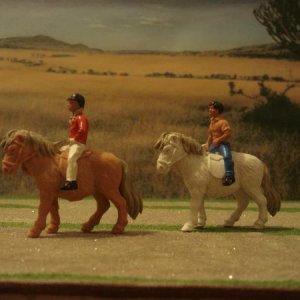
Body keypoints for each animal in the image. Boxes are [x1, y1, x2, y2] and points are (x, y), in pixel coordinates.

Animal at [0, 130, 143, 238]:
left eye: (12, 149)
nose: (5, 168)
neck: (46, 163)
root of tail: (118, 160)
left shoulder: (46, 193)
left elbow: (43, 209)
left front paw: (34, 231)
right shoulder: (51, 192)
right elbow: (53, 208)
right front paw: (52, 227)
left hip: (110, 190)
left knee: (121, 203)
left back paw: (118, 228)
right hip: (98, 191)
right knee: (103, 206)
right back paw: (87, 226)